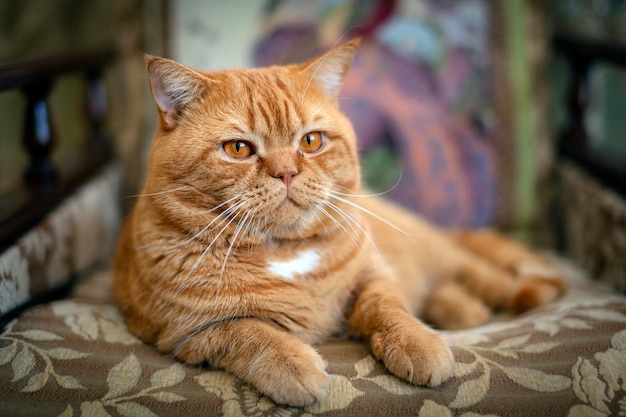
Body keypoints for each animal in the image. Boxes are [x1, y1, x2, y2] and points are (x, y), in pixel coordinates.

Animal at [114, 39, 564, 406]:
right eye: (238, 149)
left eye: (311, 141)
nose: (286, 172)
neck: (287, 251)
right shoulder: (188, 333)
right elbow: (253, 333)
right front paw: (295, 368)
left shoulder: (373, 275)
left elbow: (389, 307)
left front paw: (418, 344)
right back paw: (462, 309)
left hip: (448, 259)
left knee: (488, 277)